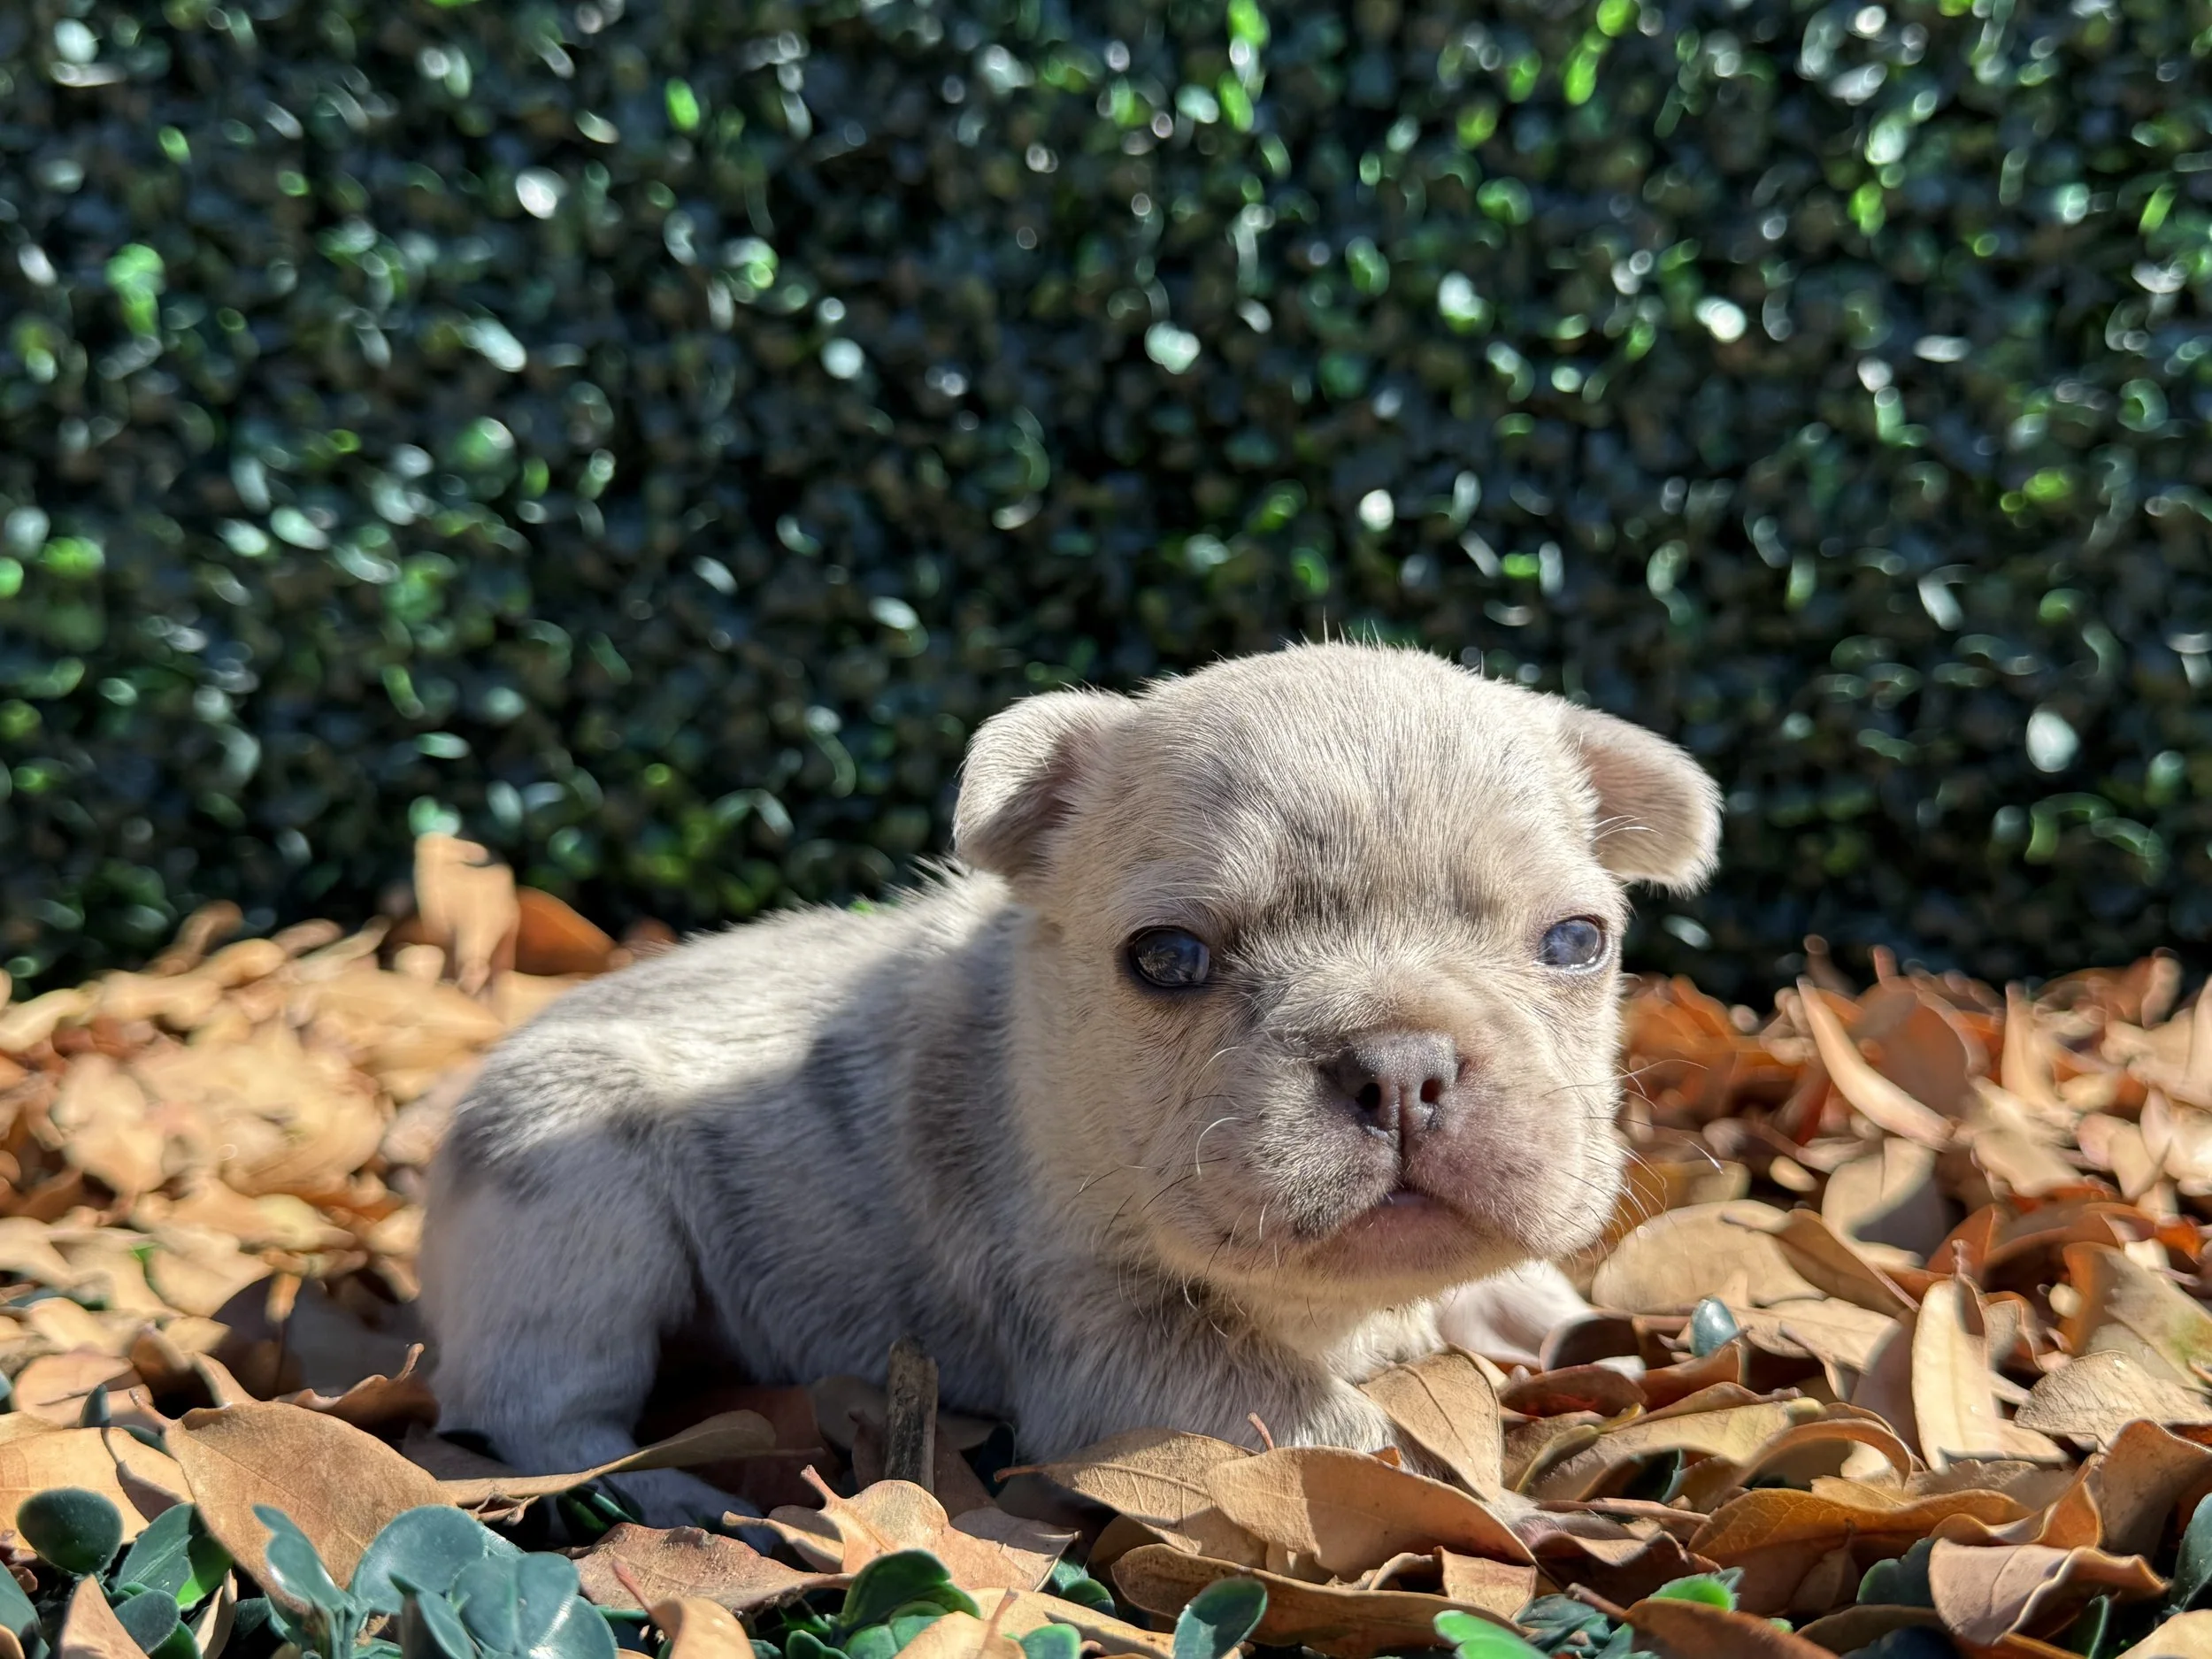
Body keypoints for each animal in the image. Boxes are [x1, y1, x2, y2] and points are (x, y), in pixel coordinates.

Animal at [418, 643, 1720, 1525]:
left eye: (1577, 941)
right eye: (1168, 958)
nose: (1402, 1063)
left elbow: (1510, 1291)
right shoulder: (1115, 1348)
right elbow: (1339, 1428)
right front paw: (1510, 1516)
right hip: (569, 1203)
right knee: (548, 1409)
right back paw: (681, 1494)